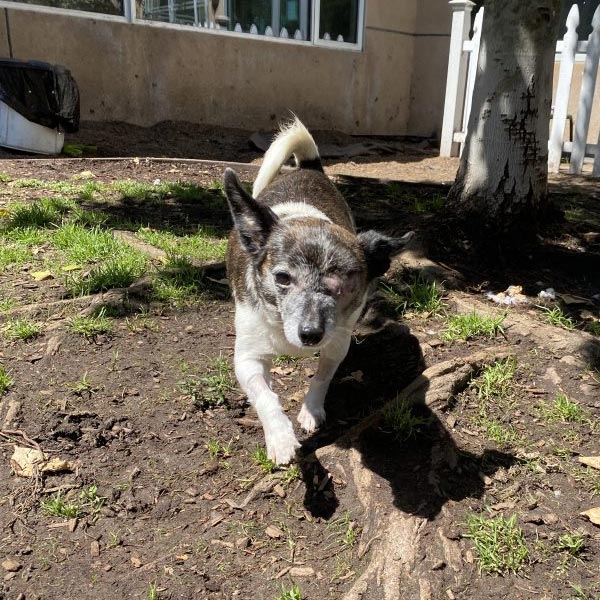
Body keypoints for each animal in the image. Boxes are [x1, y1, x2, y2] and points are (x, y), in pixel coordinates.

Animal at [223, 117, 414, 464]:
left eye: (345, 282)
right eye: (282, 278)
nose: (310, 333)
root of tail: (309, 168)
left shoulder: (338, 344)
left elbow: (323, 377)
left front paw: (311, 411)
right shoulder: (247, 359)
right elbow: (264, 396)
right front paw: (280, 438)